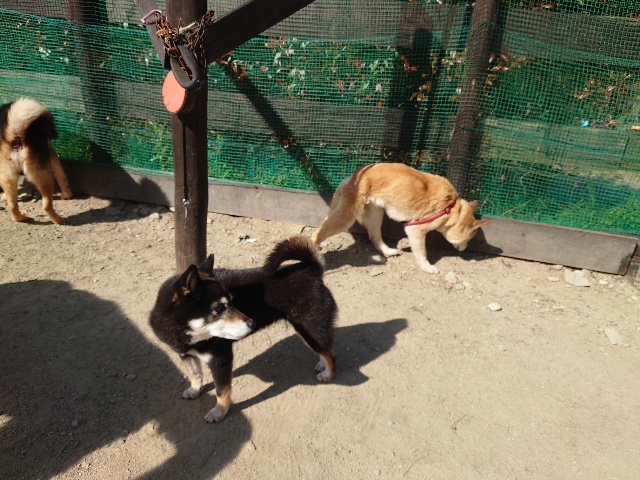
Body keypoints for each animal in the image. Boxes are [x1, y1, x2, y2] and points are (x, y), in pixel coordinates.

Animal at [149, 236, 337, 423]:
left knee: (329, 352)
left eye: (232, 302)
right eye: (220, 308)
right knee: (325, 348)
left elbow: (221, 391)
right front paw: (195, 390)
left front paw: (219, 412)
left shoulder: (220, 359)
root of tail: (313, 270)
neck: (187, 334)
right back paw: (322, 365)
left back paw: (328, 374)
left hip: (310, 329)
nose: (252, 323)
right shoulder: (185, 354)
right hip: (309, 332)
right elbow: (195, 374)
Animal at [311, 162, 488, 274]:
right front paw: (427, 268)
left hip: (376, 214)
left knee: (374, 236)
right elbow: (422, 254)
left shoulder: (411, 227)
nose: (465, 249)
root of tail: (354, 175)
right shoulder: (416, 230)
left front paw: (403, 244)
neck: (451, 209)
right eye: (469, 239)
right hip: (346, 218)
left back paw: (388, 251)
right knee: (316, 235)